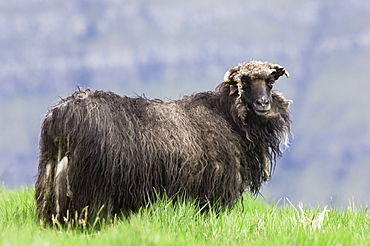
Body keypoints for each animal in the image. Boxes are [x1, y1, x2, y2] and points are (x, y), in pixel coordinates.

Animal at [35, 60, 292, 224]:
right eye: (244, 84)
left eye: (270, 84)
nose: (263, 103)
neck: (226, 115)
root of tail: (60, 114)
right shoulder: (215, 191)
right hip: (86, 185)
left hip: (49, 176)